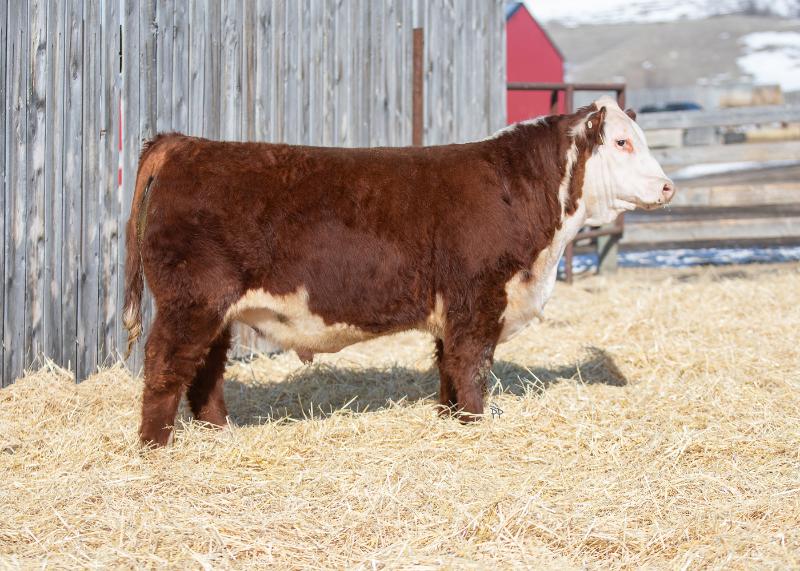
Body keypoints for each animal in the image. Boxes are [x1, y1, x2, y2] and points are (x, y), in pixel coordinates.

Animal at [123, 96, 674, 446]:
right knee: (166, 365)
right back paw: (155, 448)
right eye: (622, 143)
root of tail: (185, 144)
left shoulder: (453, 309)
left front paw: (451, 420)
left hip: (214, 309)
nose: (668, 186)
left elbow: (448, 367)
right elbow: (472, 366)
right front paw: (477, 425)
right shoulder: (478, 300)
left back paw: (221, 433)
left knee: (206, 371)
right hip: (190, 300)